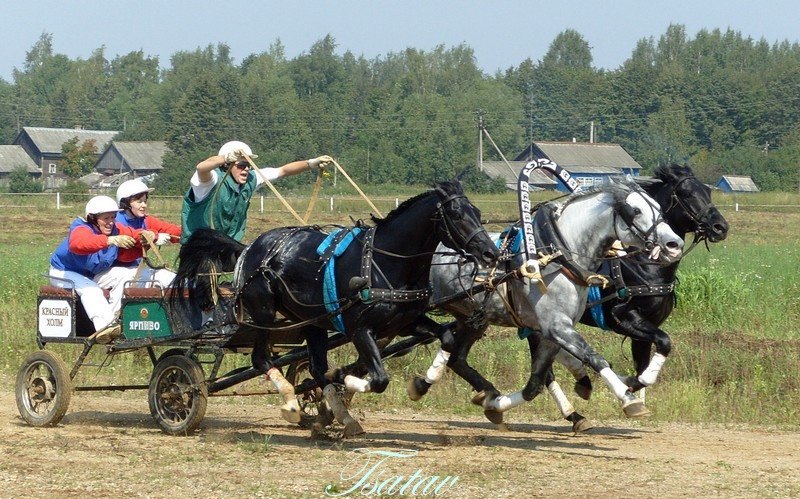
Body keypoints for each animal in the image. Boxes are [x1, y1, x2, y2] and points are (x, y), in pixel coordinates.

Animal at [174, 181, 496, 438]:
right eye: (456, 215)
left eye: (478, 212)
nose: (490, 252)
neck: (384, 262)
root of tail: (248, 249)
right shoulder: (360, 329)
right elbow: (379, 379)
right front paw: (348, 377)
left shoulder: (405, 321)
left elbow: (448, 338)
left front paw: (421, 384)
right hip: (264, 313)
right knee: (262, 359)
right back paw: (292, 402)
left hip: (311, 321)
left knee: (316, 369)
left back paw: (340, 415)